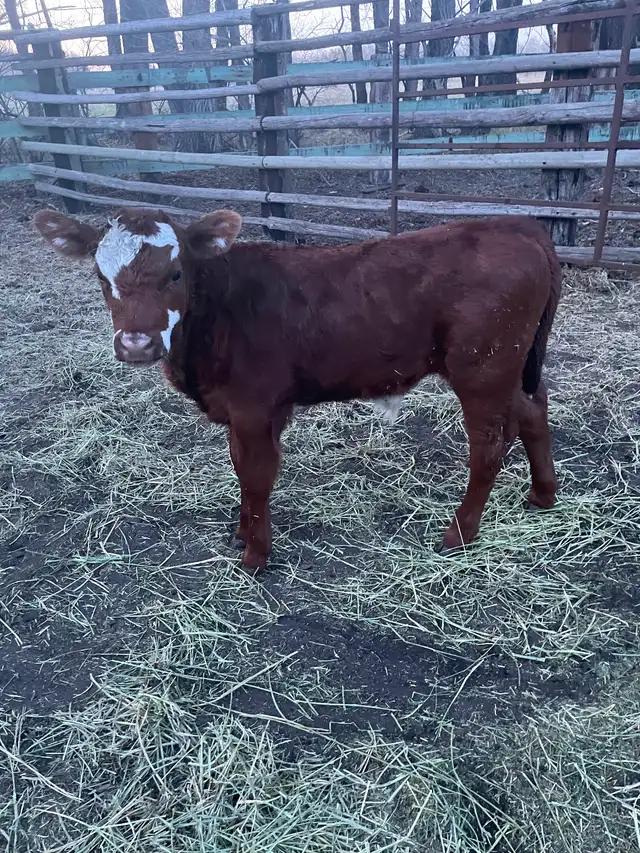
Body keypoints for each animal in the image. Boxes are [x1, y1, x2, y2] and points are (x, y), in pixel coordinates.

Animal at [34, 207, 562, 573]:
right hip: (511, 368)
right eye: (101, 277)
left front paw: (254, 556)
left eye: (176, 273)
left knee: (488, 446)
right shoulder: (238, 411)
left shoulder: (255, 407)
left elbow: (256, 476)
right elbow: (239, 469)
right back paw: (542, 495)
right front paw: (241, 533)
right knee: (533, 410)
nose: (137, 343)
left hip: (482, 369)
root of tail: (518, 226)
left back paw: (460, 533)